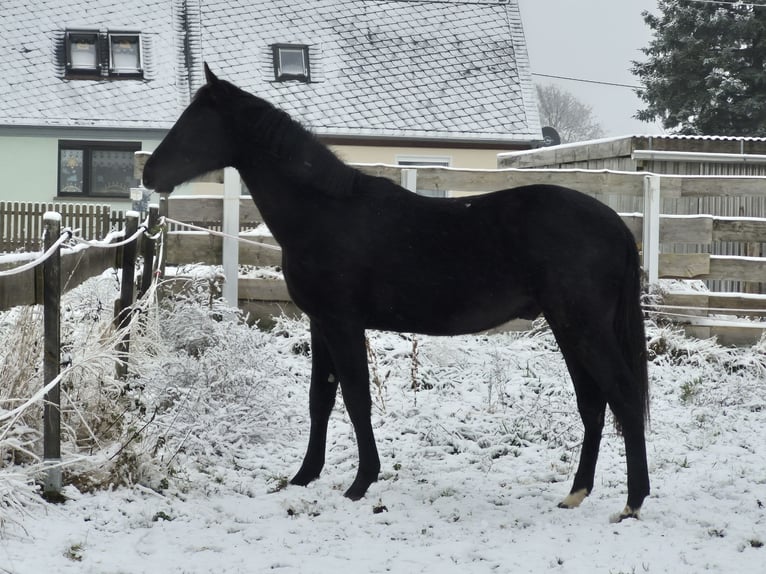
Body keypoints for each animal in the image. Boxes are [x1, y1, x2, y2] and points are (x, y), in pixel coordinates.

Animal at [143, 64, 650, 522]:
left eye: (196, 122)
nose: (148, 172)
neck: (325, 213)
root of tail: (617, 226)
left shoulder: (343, 323)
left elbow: (355, 398)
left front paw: (360, 483)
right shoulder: (321, 324)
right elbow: (320, 399)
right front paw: (304, 477)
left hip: (583, 327)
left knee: (623, 395)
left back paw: (632, 502)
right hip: (567, 327)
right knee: (593, 403)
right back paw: (576, 493)